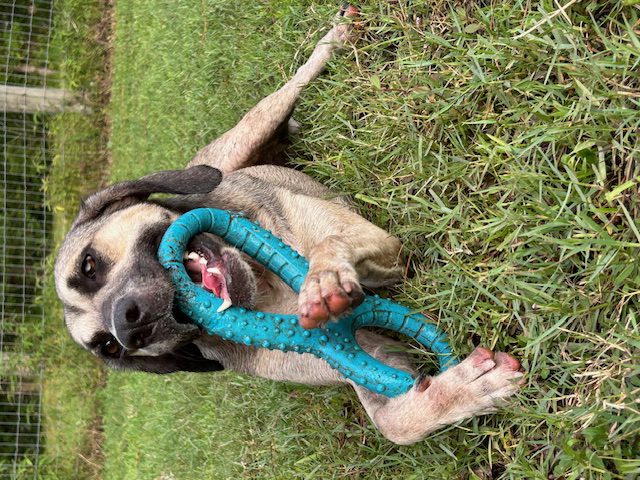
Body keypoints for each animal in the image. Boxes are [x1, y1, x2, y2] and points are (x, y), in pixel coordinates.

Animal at [55, 5, 524, 444]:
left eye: (89, 265)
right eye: (108, 348)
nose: (129, 326)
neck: (265, 291)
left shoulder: (378, 243)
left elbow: (328, 245)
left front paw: (323, 280)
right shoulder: (363, 354)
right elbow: (396, 423)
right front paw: (462, 391)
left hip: (248, 132)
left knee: (294, 82)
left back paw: (338, 35)